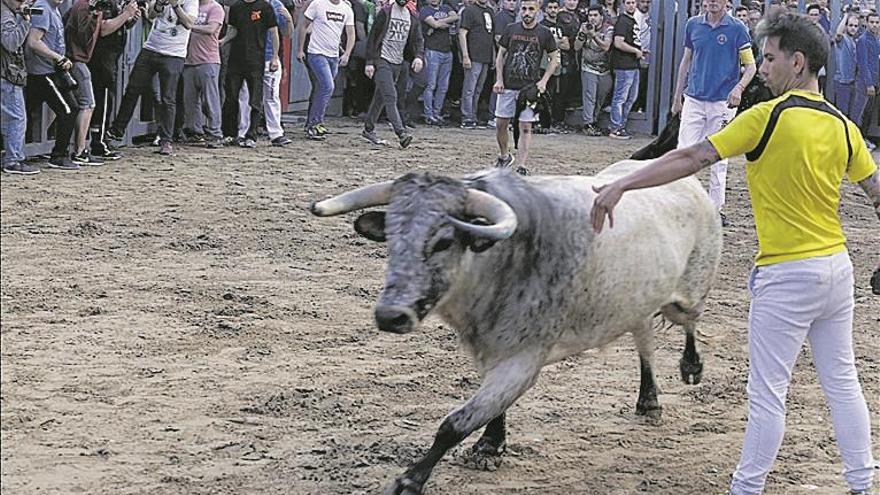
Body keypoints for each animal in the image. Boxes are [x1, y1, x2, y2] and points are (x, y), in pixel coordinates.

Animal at [310, 161, 720, 494]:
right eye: (392, 237)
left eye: (444, 241)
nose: (391, 315)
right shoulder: (492, 350)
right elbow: (490, 407)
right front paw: (491, 445)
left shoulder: (523, 359)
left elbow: (454, 423)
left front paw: (410, 480)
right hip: (638, 300)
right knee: (645, 341)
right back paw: (648, 399)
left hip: (688, 294)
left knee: (690, 322)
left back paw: (691, 367)